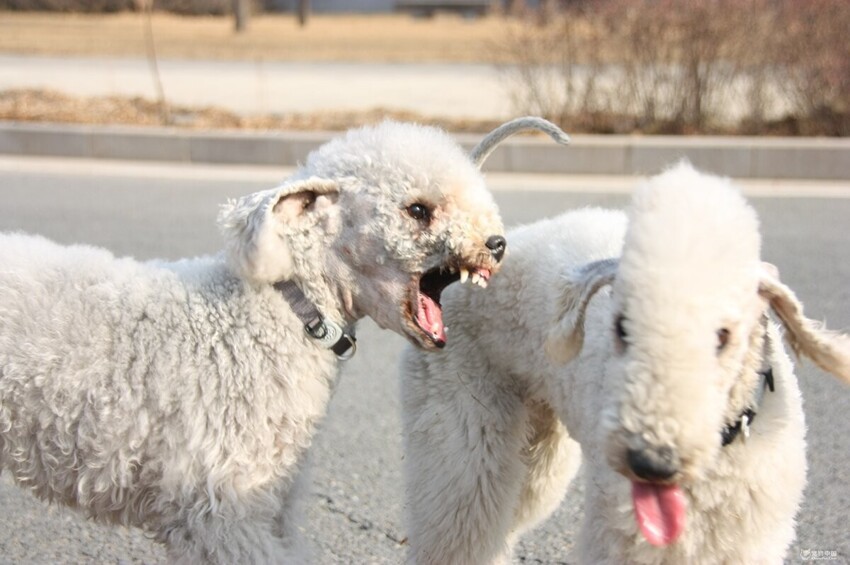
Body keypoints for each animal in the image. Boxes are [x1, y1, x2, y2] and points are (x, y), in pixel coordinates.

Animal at [400, 162, 848, 564]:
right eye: (622, 325)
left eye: (723, 336)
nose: (651, 462)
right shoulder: (623, 540)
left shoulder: (750, 537)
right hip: (465, 423)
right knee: (462, 522)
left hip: (541, 445)